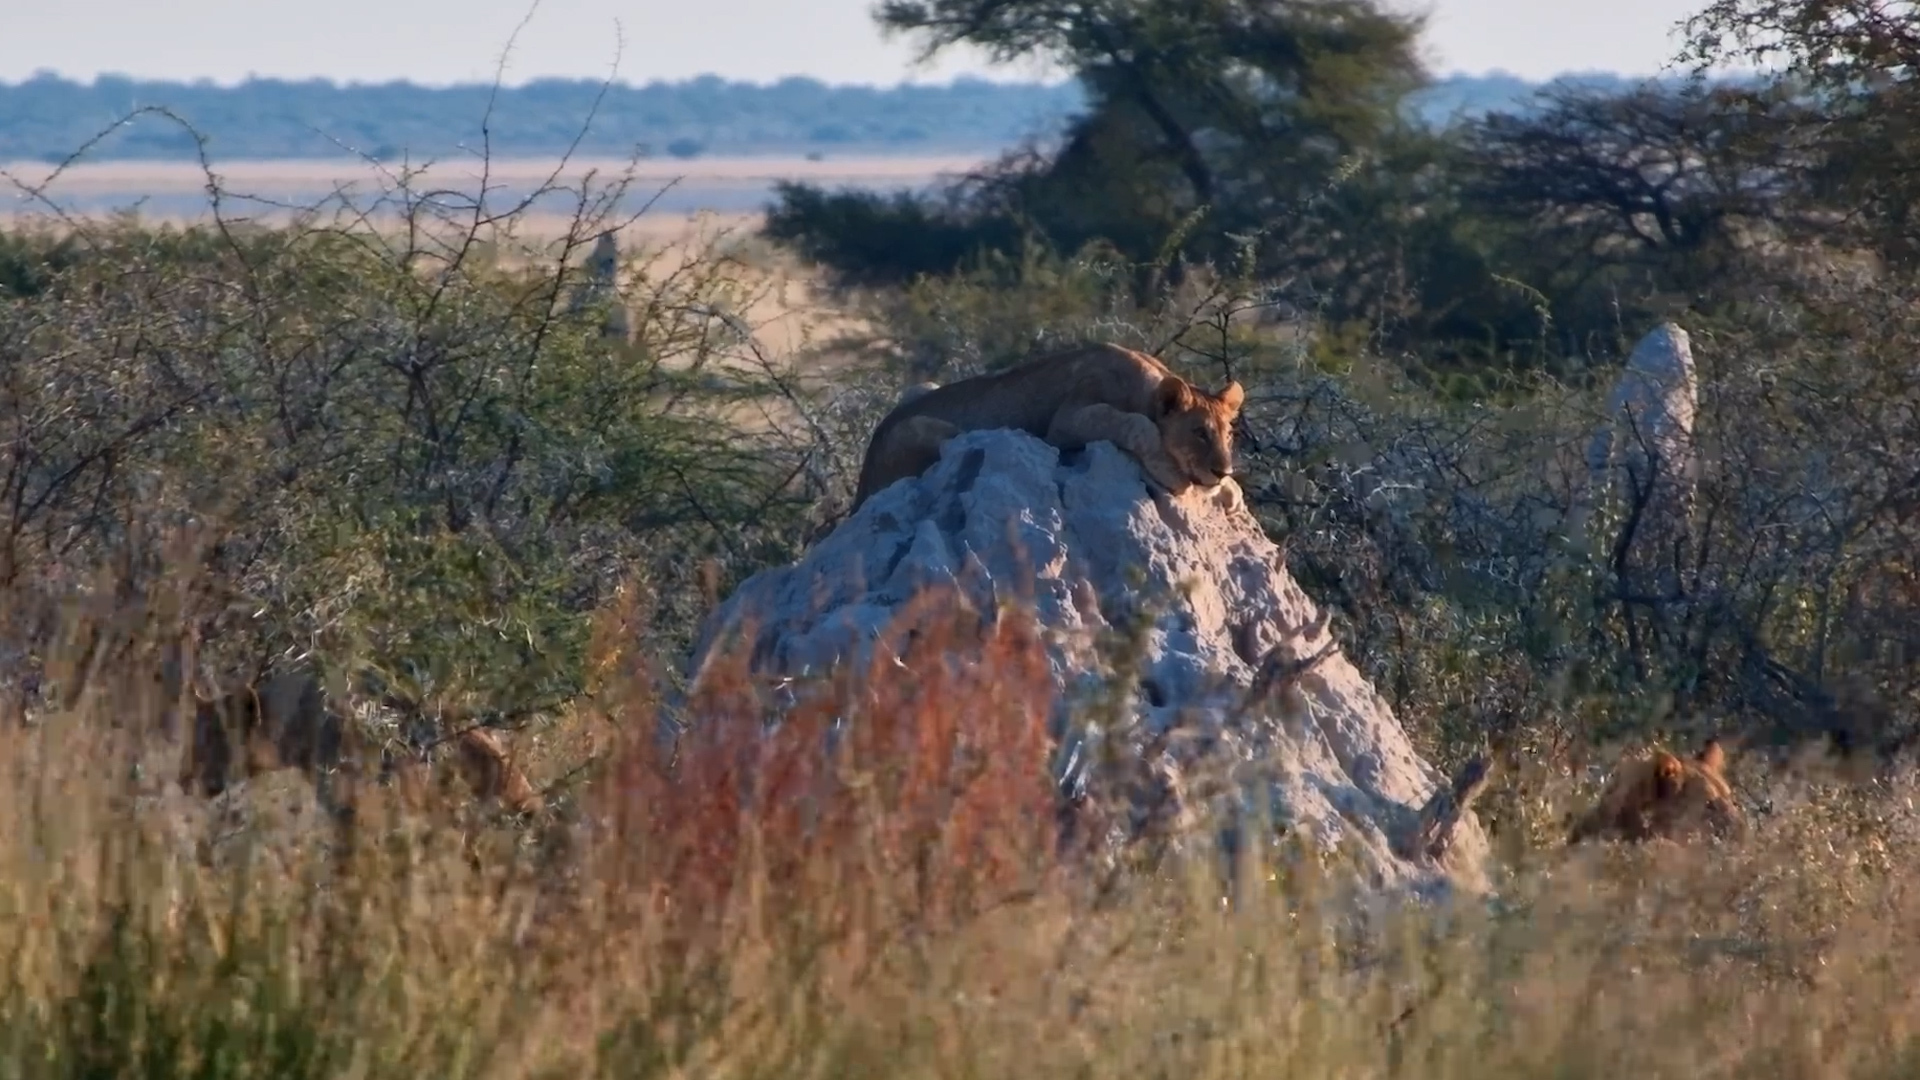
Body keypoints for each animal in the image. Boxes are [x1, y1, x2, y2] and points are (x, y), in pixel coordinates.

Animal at [851, 342, 1246, 512]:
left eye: (1228, 435)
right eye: (1199, 433)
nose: (1221, 470)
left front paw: (1231, 491)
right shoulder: (1067, 420)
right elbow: (1133, 423)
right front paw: (1170, 471)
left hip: (923, 387)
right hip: (934, 430)